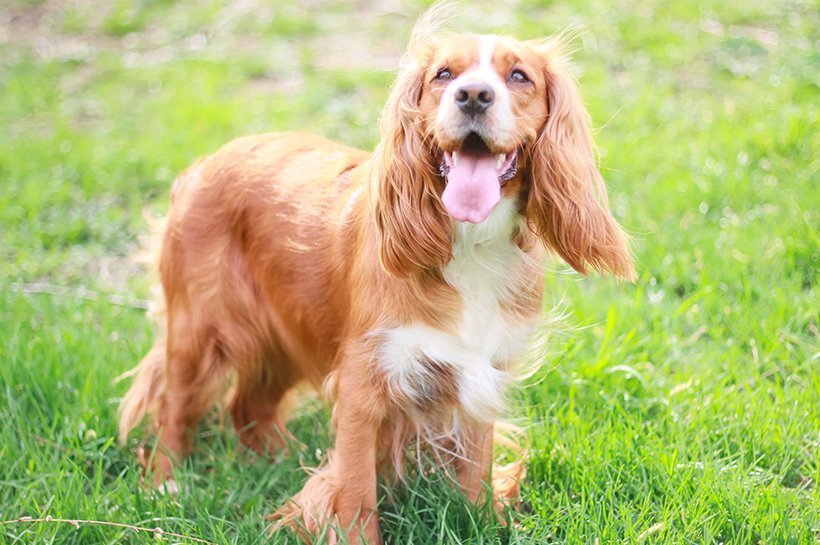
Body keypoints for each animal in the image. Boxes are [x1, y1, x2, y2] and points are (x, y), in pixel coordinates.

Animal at [117, 5, 636, 544]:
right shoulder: (364, 385)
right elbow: (356, 492)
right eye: (443, 75)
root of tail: (201, 164)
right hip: (200, 329)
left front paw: (482, 523)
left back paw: (280, 462)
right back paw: (165, 485)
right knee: (174, 409)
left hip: (282, 331)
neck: (468, 243)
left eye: (519, 76)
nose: (473, 95)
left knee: (248, 405)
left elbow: (475, 475)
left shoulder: (480, 373)